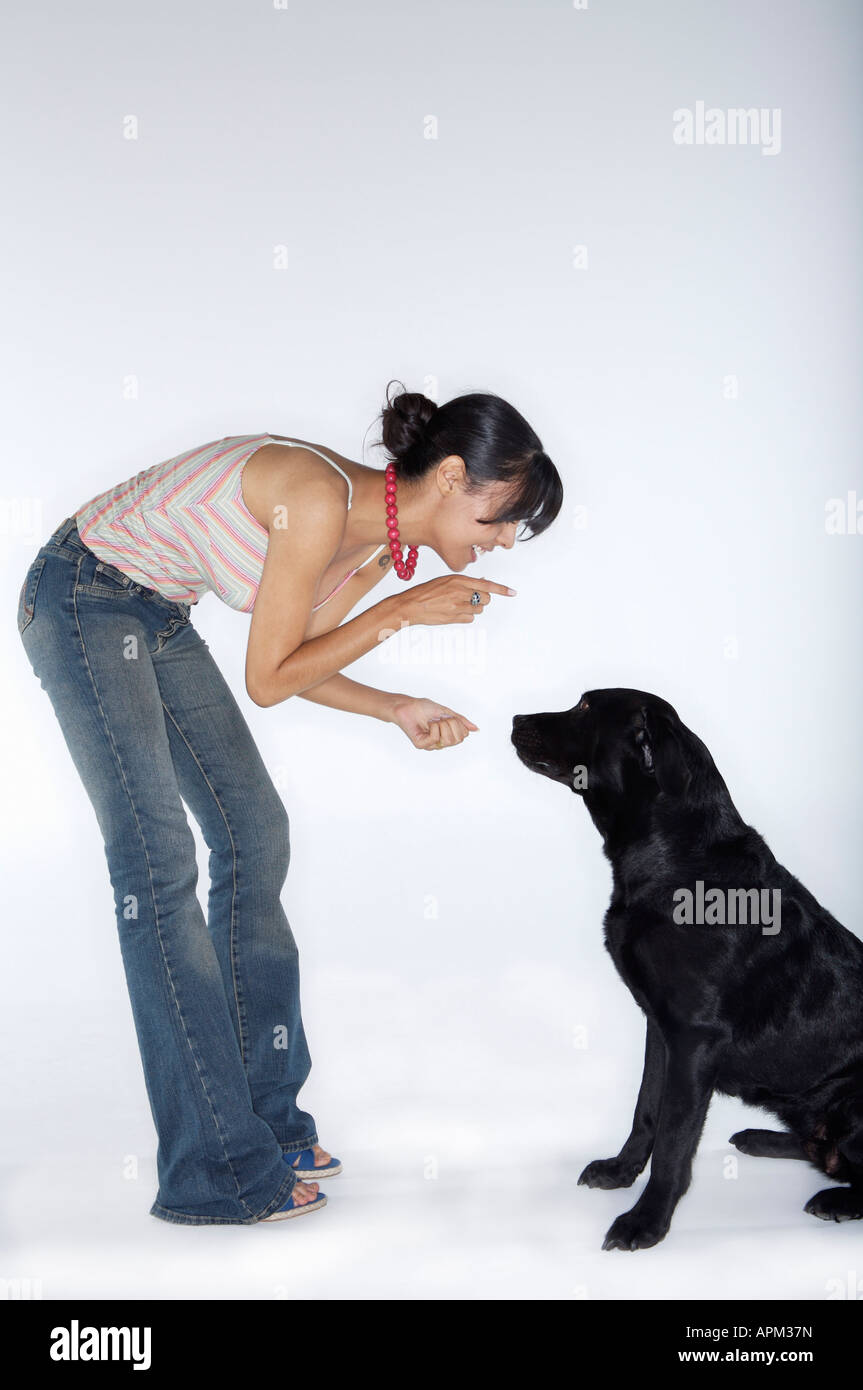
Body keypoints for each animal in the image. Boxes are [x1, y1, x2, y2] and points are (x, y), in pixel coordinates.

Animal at [511, 692, 861, 1251]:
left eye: (585, 707)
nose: (516, 719)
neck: (674, 859)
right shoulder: (660, 1028)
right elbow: (646, 1110)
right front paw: (620, 1171)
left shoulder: (694, 1037)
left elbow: (674, 1140)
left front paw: (645, 1222)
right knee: (818, 1148)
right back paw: (760, 1138)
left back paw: (835, 1199)